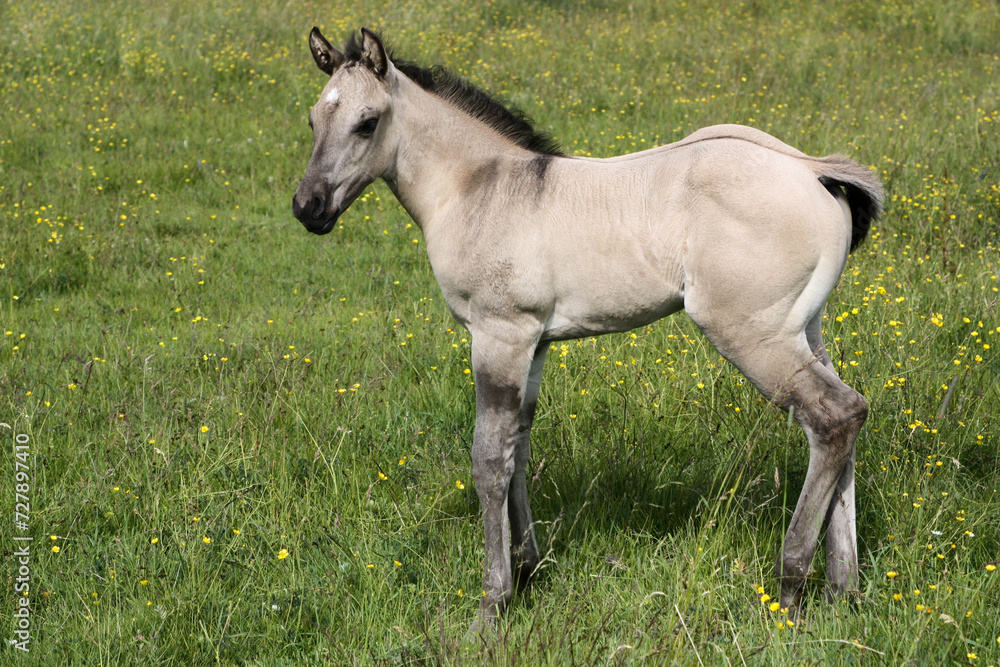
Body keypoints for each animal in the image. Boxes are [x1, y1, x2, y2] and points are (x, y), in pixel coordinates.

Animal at [292, 27, 883, 628]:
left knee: (833, 416)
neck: (481, 188)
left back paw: (791, 584)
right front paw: (528, 568)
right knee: (846, 420)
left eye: (367, 122)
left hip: (751, 335)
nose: (307, 208)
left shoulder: (498, 336)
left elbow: (488, 460)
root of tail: (812, 169)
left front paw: (493, 601)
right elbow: (518, 446)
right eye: (314, 121)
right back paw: (844, 588)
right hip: (805, 331)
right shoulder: (534, 342)